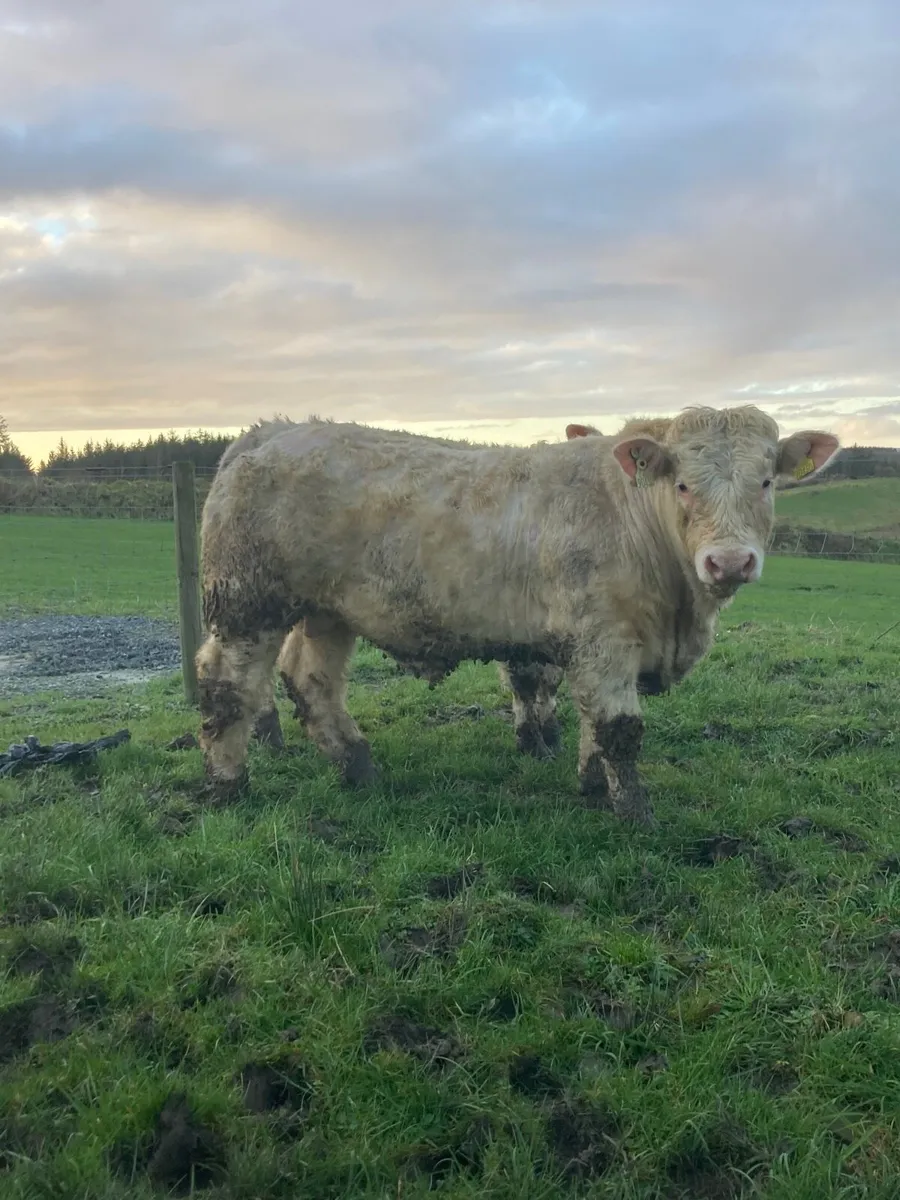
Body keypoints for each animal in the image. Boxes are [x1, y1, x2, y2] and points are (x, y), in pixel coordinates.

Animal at [212, 417, 603, 759]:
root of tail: (264, 431)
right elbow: (528, 681)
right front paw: (533, 741)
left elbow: (546, 680)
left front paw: (548, 734)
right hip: (252, 598)